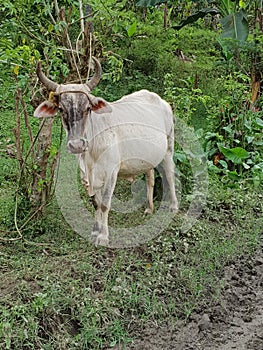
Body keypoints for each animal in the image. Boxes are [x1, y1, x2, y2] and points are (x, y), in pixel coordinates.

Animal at [33, 58, 177, 246]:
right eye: (62, 109)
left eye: (87, 108)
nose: (77, 145)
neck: (91, 152)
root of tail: (161, 101)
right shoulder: (87, 176)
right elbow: (96, 203)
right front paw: (95, 232)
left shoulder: (111, 173)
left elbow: (105, 204)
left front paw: (103, 237)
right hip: (147, 157)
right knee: (150, 177)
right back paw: (148, 208)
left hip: (169, 147)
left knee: (170, 173)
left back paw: (173, 206)